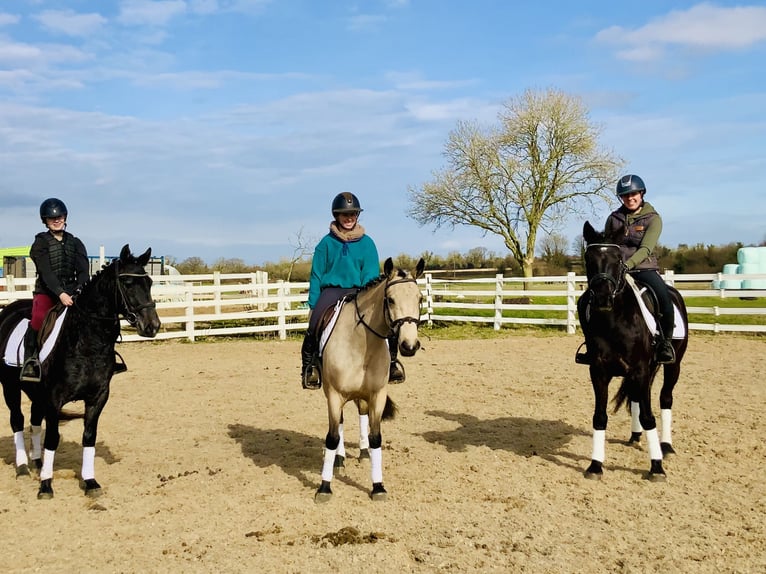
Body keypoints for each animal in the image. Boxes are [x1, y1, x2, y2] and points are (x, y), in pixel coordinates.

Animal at [0, 245, 160, 498]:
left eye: (150, 282)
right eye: (127, 283)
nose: (152, 326)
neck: (86, 341)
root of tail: (9, 309)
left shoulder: (98, 397)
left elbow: (89, 436)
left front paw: (90, 481)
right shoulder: (54, 399)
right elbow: (52, 438)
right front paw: (46, 485)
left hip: (36, 393)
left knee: (34, 421)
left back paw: (37, 462)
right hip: (10, 387)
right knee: (17, 420)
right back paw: (23, 467)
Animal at [580, 223, 692, 484]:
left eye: (618, 258)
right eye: (588, 258)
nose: (602, 299)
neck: (614, 320)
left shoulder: (640, 370)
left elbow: (649, 416)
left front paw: (657, 467)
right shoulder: (598, 371)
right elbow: (600, 416)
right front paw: (595, 465)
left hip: (673, 366)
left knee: (665, 399)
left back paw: (666, 446)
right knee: (638, 399)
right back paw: (635, 436)